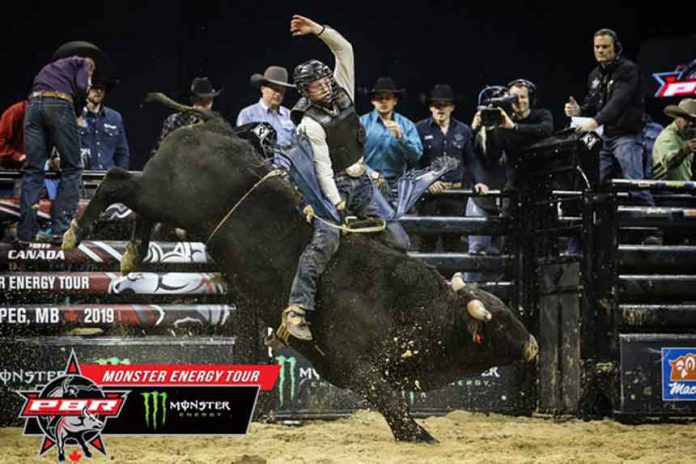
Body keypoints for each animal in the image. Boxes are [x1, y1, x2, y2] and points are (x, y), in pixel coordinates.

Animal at [61, 98, 540, 442]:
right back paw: (75, 232)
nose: (534, 344)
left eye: (507, 311)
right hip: (165, 194)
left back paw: (131, 253)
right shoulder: (353, 364)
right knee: (117, 180)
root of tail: (212, 125)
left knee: (137, 205)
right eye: (500, 322)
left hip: (164, 201)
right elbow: (388, 398)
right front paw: (418, 435)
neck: (414, 308)